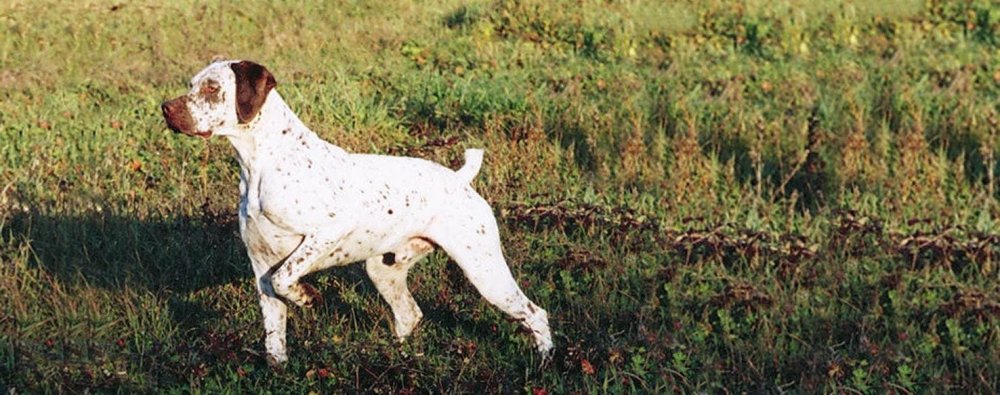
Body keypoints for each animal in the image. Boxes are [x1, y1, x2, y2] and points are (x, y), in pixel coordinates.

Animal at [164, 60, 556, 370]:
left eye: (212, 88)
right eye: (191, 85)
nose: (165, 108)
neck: (262, 164)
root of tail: (460, 179)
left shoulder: (325, 233)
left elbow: (286, 278)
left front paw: (308, 297)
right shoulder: (260, 265)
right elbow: (274, 334)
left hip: (485, 271)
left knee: (535, 313)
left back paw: (544, 363)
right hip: (383, 270)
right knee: (409, 315)